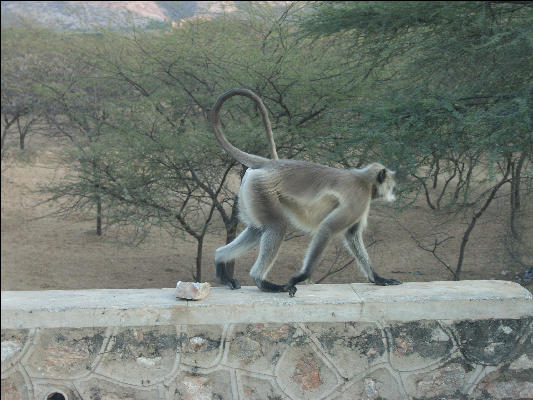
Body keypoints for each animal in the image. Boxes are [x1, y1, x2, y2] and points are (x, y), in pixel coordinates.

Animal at [210, 90, 402, 296]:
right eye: (392, 187)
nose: (393, 194)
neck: (364, 179)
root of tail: (269, 164)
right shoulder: (359, 197)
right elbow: (327, 228)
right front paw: (300, 277)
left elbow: (352, 235)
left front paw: (378, 278)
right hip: (261, 188)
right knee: (277, 225)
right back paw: (261, 280)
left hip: (251, 192)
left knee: (257, 229)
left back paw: (221, 262)